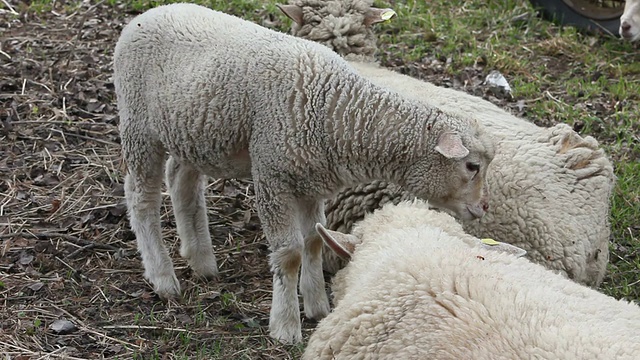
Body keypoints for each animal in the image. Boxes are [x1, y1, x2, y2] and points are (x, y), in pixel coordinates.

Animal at [114, 3, 496, 346]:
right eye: (471, 166)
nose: (483, 208)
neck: (338, 111)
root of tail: (148, 14)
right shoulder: (273, 177)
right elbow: (290, 254)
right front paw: (285, 325)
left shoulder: (313, 182)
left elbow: (314, 240)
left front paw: (317, 306)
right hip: (138, 125)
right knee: (141, 198)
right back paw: (162, 277)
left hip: (192, 131)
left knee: (183, 181)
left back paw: (201, 260)